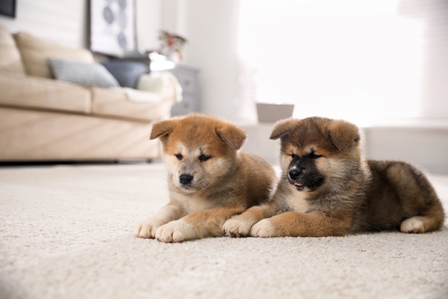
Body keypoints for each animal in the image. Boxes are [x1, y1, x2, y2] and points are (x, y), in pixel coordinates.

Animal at [133, 113, 276, 243]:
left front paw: (173, 226)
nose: (184, 178)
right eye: (178, 156)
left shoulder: (230, 207)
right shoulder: (178, 203)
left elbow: (199, 215)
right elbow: (165, 210)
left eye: (204, 157)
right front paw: (150, 223)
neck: (196, 195)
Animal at [224, 117, 444, 239]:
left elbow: (293, 217)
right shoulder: (277, 203)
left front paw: (266, 225)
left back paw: (415, 223)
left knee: (438, 213)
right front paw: (238, 222)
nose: (292, 173)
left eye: (315, 155)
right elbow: (255, 209)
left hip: (401, 177)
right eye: (292, 155)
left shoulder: (332, 219)